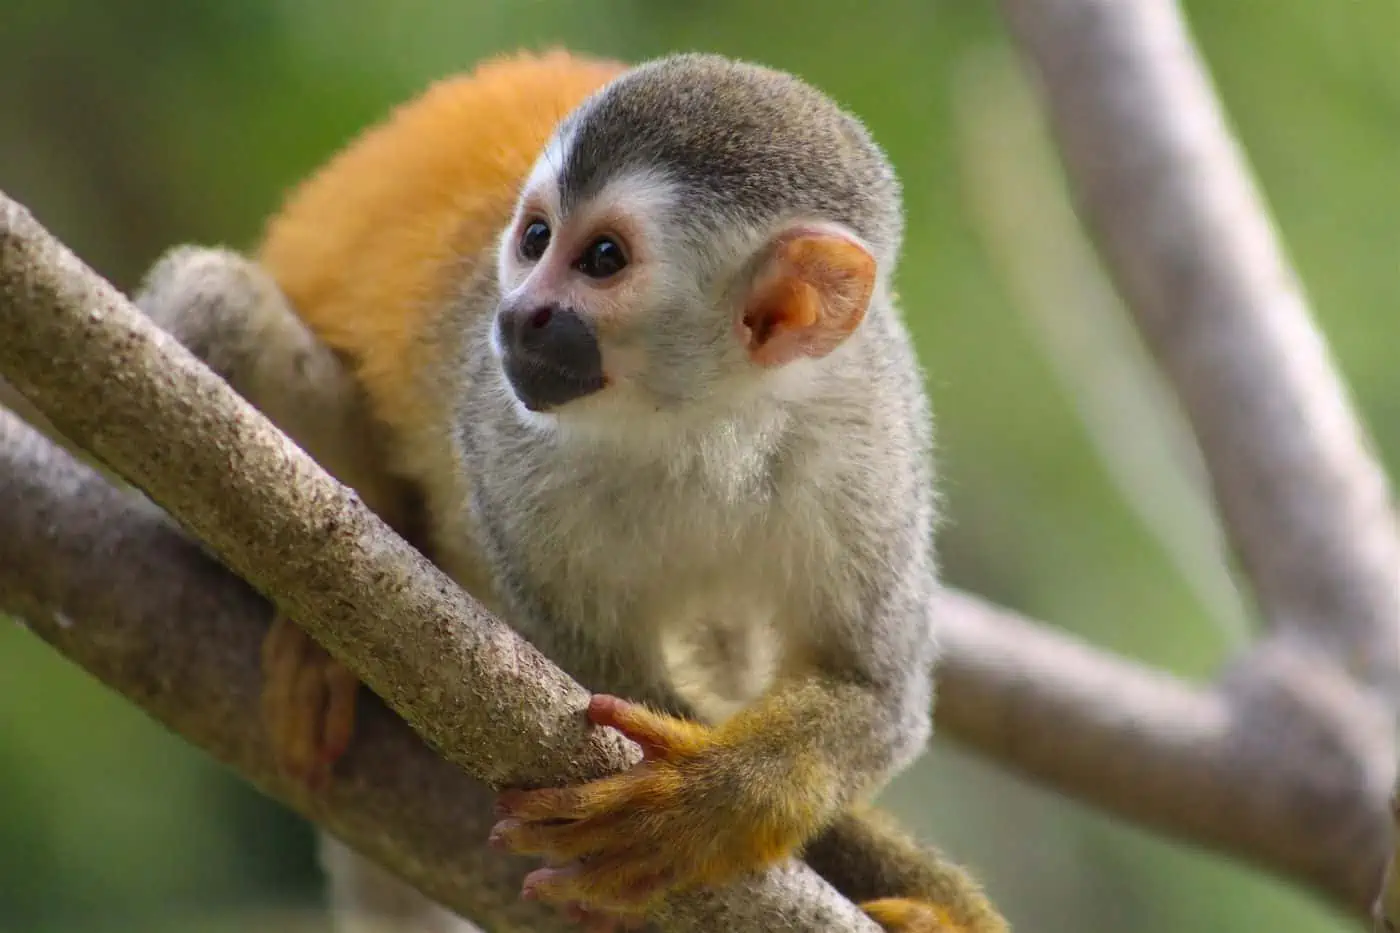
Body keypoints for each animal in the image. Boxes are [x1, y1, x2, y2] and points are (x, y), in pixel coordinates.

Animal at [134, 49, 1009, 933]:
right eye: (535, 239)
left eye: (603, 260)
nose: (518, 315)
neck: (707, 420)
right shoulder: (509, 442)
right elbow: (564, 687)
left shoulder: (874, 435)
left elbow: (874, 692)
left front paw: (711, 802)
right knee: (217, 302)